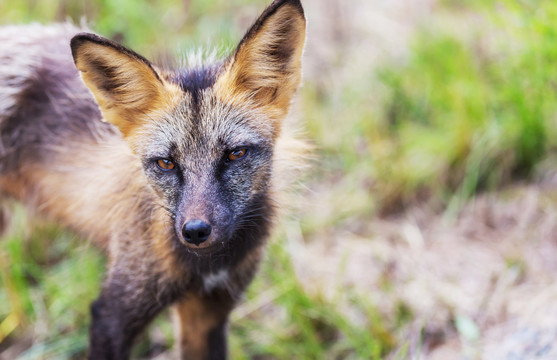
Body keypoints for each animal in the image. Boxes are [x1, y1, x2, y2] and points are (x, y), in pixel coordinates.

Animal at [0, 0, 306, 358]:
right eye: (166, 163)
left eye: (235, 154)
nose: (195, 231)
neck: (205, 267)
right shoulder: (113, 311)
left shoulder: (209, 310)